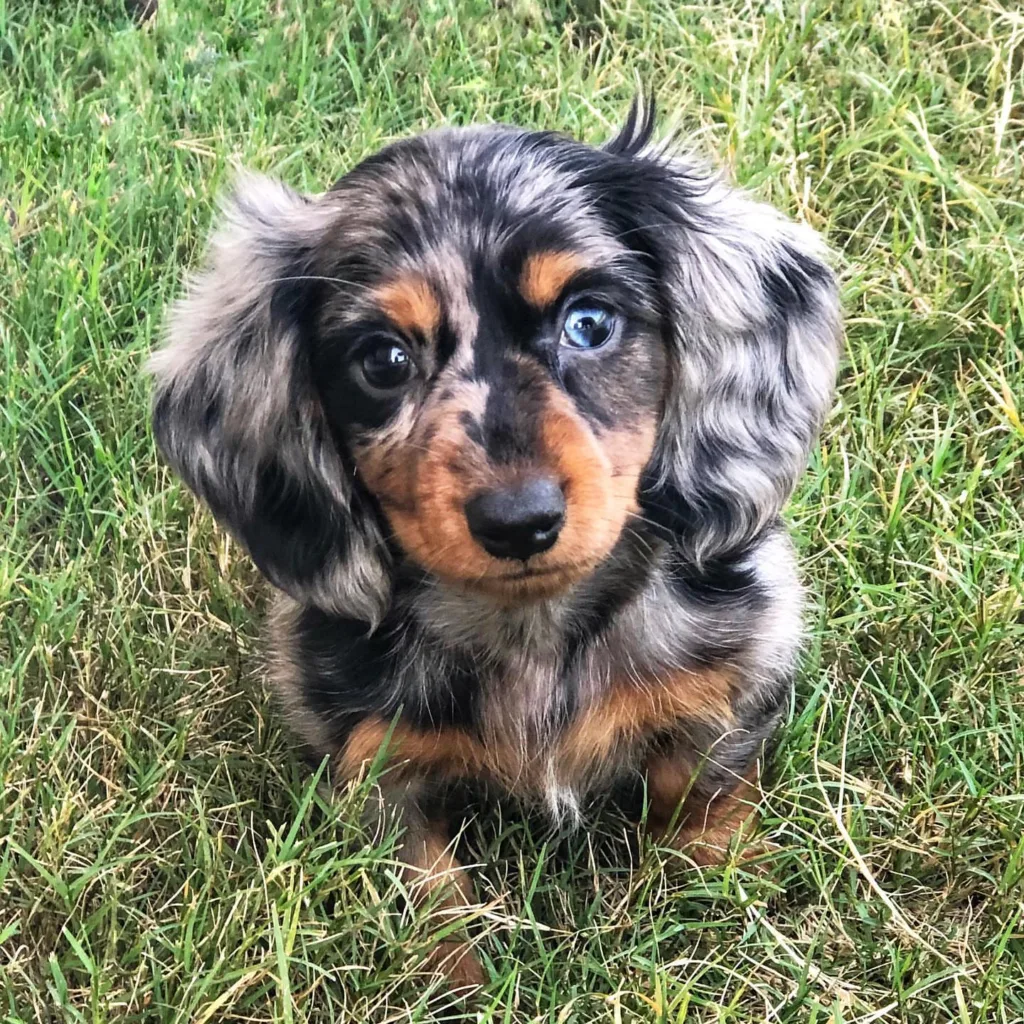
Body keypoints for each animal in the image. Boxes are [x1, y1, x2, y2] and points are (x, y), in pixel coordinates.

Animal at [149, 99, 839, 987]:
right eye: (383, 359)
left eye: (589, 322)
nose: (519, 521)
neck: (532, 631)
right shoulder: (371, 760)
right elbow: (424, 887)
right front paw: (451, 978)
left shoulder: (737, 668)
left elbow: (702, 791)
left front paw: (714, 902)